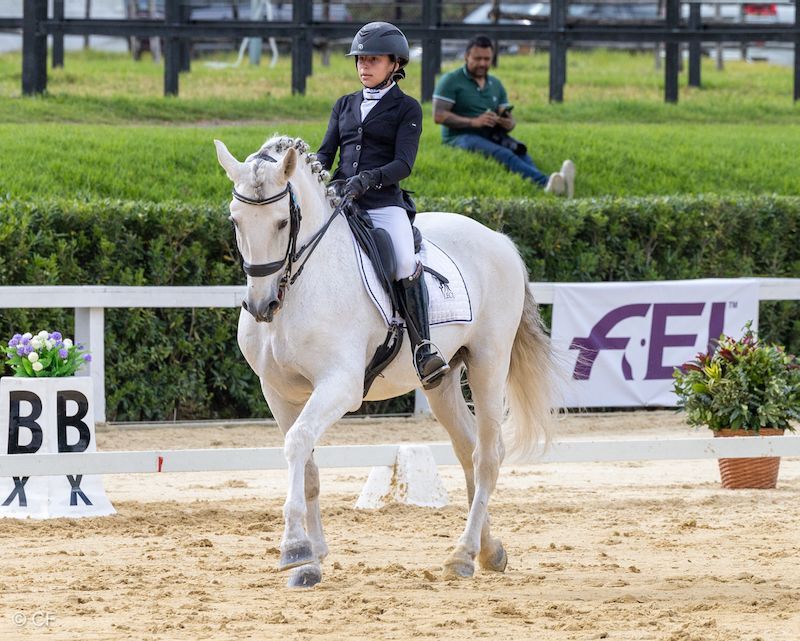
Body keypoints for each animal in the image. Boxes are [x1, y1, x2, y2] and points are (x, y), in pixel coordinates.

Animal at [214, 135, 555, 588]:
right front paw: (311, 561)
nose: (260, 306)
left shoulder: (339, 386)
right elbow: (307, 466)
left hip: (489, 362)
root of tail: (498, 240)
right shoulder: (278, 391)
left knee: (487, 457)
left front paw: (294, 549)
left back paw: (462, 555)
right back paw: (488, 550)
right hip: (442, 380)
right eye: (235, 221)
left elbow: (298, 443)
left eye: (283, 223)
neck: (301, 285)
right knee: (468, 450)